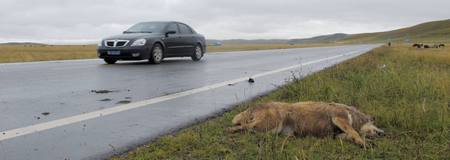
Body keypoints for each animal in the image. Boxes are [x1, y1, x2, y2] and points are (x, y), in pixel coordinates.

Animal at [229, 102, 384, 147]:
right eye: (376, 124)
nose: (384, 132)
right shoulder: (339, 118)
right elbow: (354, 132)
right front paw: (363, 143)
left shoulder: (336, 134)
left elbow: (348, 135)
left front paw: (362, 141)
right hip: (272, 124)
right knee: (244, 126)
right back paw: (231, 130)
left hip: (272, 129)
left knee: (247, 128)